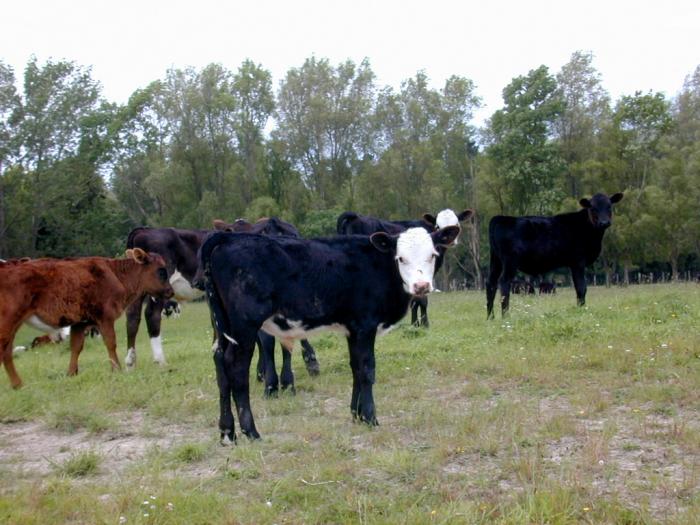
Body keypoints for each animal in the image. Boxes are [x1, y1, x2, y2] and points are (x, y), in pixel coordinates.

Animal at [0, 249, 173, 389]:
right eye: (161, 271)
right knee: (5, 350)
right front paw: (116, 369)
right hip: (9, 322)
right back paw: (17, 383)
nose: (170, 291)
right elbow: (111, 343)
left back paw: (17, 384)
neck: (116, 275)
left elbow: (76, 347)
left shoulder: (79, 323)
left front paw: (71, 373)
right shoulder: (105, 318)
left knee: (7, 352)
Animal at [337, 209, 473, 327]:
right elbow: (420, 300)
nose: (451, 241)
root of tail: (355, 216)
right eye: (438, 226)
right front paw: (422, 324)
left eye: (456, 223)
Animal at [486, 192, 623, 318]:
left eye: (609, 206)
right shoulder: (578, 262)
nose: (604, 222)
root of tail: (501, 218)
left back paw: (490, 317)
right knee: (504, 282)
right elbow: (581, 288)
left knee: (491, 283)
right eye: (593, 208)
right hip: (510, 261)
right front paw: (581, 311)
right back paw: (505, 316)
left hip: (496, 260)